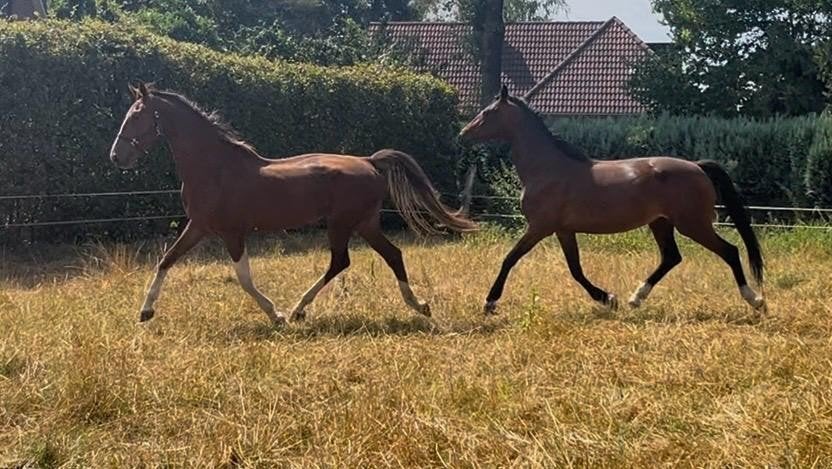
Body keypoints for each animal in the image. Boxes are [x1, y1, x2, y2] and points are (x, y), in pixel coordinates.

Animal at [109, 82, 475, 325]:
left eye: (137, 117)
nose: (116, 156)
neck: (214, 167)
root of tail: (368, 161)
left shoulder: (231, 232)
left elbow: (244, 278)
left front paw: (276, 314)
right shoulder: (199, 226)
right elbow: (166, 261)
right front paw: (145, 312)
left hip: (343, 223)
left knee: (341, 261)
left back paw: (300, 308)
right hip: (364, 223)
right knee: (391, 255)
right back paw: (418, 305)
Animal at [459, 85, 765, 313]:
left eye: (488, 112)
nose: (463, 134)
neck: (547, 169)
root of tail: (698, 167)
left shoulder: (539, 227)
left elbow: (510, 259)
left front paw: (490, 302)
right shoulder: (563, 230)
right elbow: (575, 269)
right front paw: (608, 299)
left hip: (693, 224)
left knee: (730, 251)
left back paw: (756, 300)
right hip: (661, 223)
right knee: (671, 257)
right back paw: (635, 298)